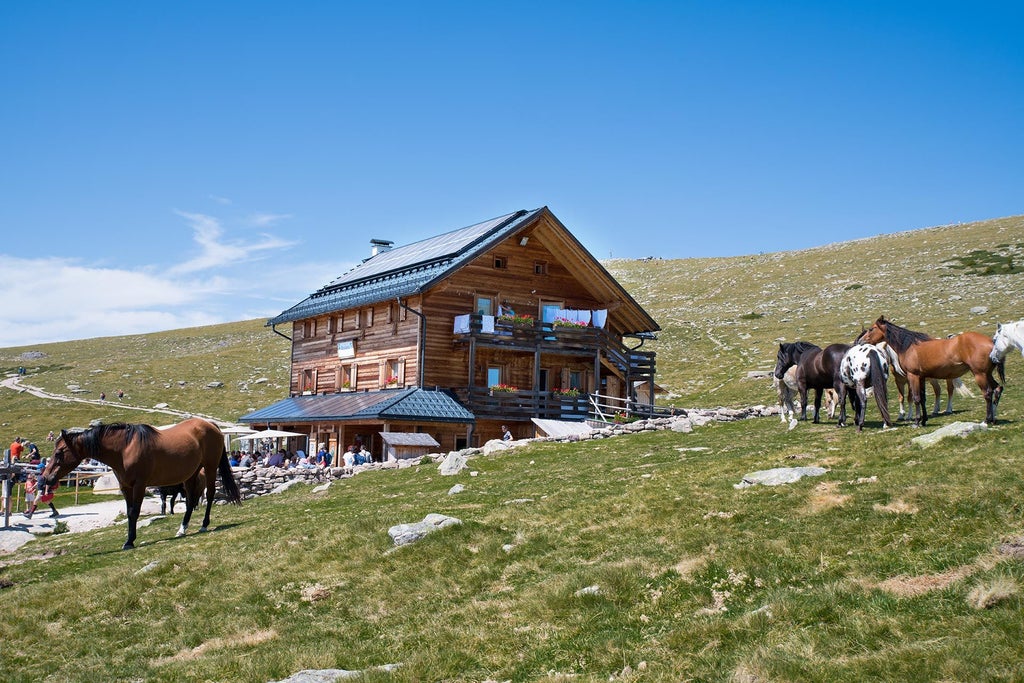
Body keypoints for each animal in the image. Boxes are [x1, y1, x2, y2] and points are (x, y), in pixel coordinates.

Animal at [41, 417, 241, 548]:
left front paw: (130, 542)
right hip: (191, 474)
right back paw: (182, 529)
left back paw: (204, 525)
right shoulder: (125, 487)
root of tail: (210, 425)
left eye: (58, 453)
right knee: (191, 501)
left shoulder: (139, 485)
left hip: (210, 467)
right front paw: (129, 540)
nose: (45, 478)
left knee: (210, 494)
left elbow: (134, 512)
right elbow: (130, 512)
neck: (125, 448)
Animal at [860, 317, 1003, 423]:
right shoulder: (921, 377)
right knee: (997, 389)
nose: (861, 341)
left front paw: (916, 422)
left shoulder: (913, 376)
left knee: (987, 393)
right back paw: (993, 418)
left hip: (979, 374)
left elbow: (915, 398)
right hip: (987, 374)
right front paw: (923, 420)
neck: (908, 346)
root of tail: (991, 342)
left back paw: (986, 419)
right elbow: (922, 398)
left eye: (871, 329)